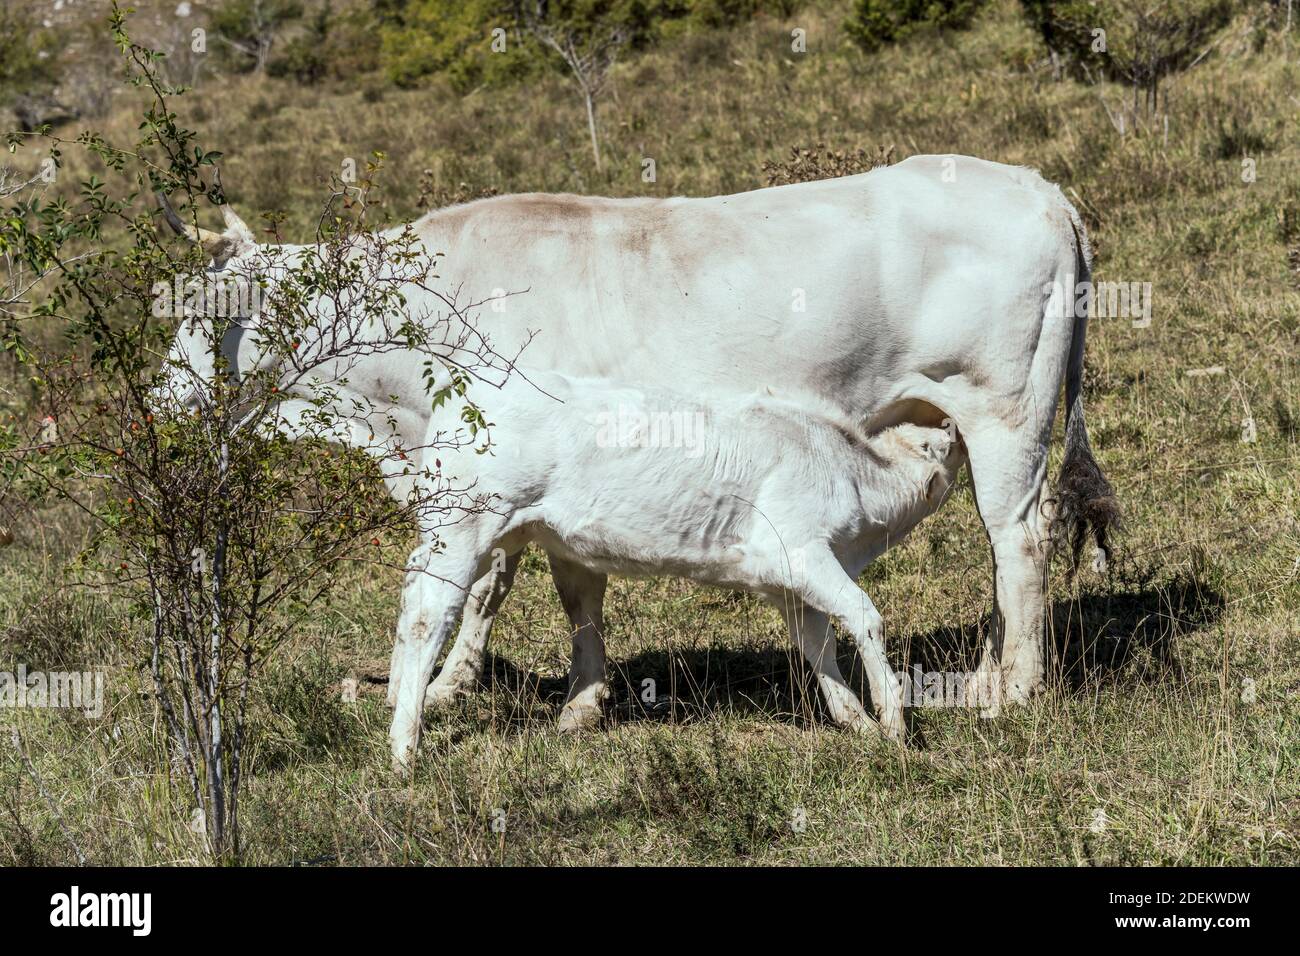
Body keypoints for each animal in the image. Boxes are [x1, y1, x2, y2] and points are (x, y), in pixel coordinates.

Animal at [379, 369, 961, 764]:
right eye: (940, 442)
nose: (954, 427)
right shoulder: (801, 548)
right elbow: (864, 615)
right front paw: (894, 723)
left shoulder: (781, 580)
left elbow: (816, 643)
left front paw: (855, 720)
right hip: (466, 526)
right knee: (428, 615)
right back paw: (406, 747)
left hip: (472, 530)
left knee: (413, 595)